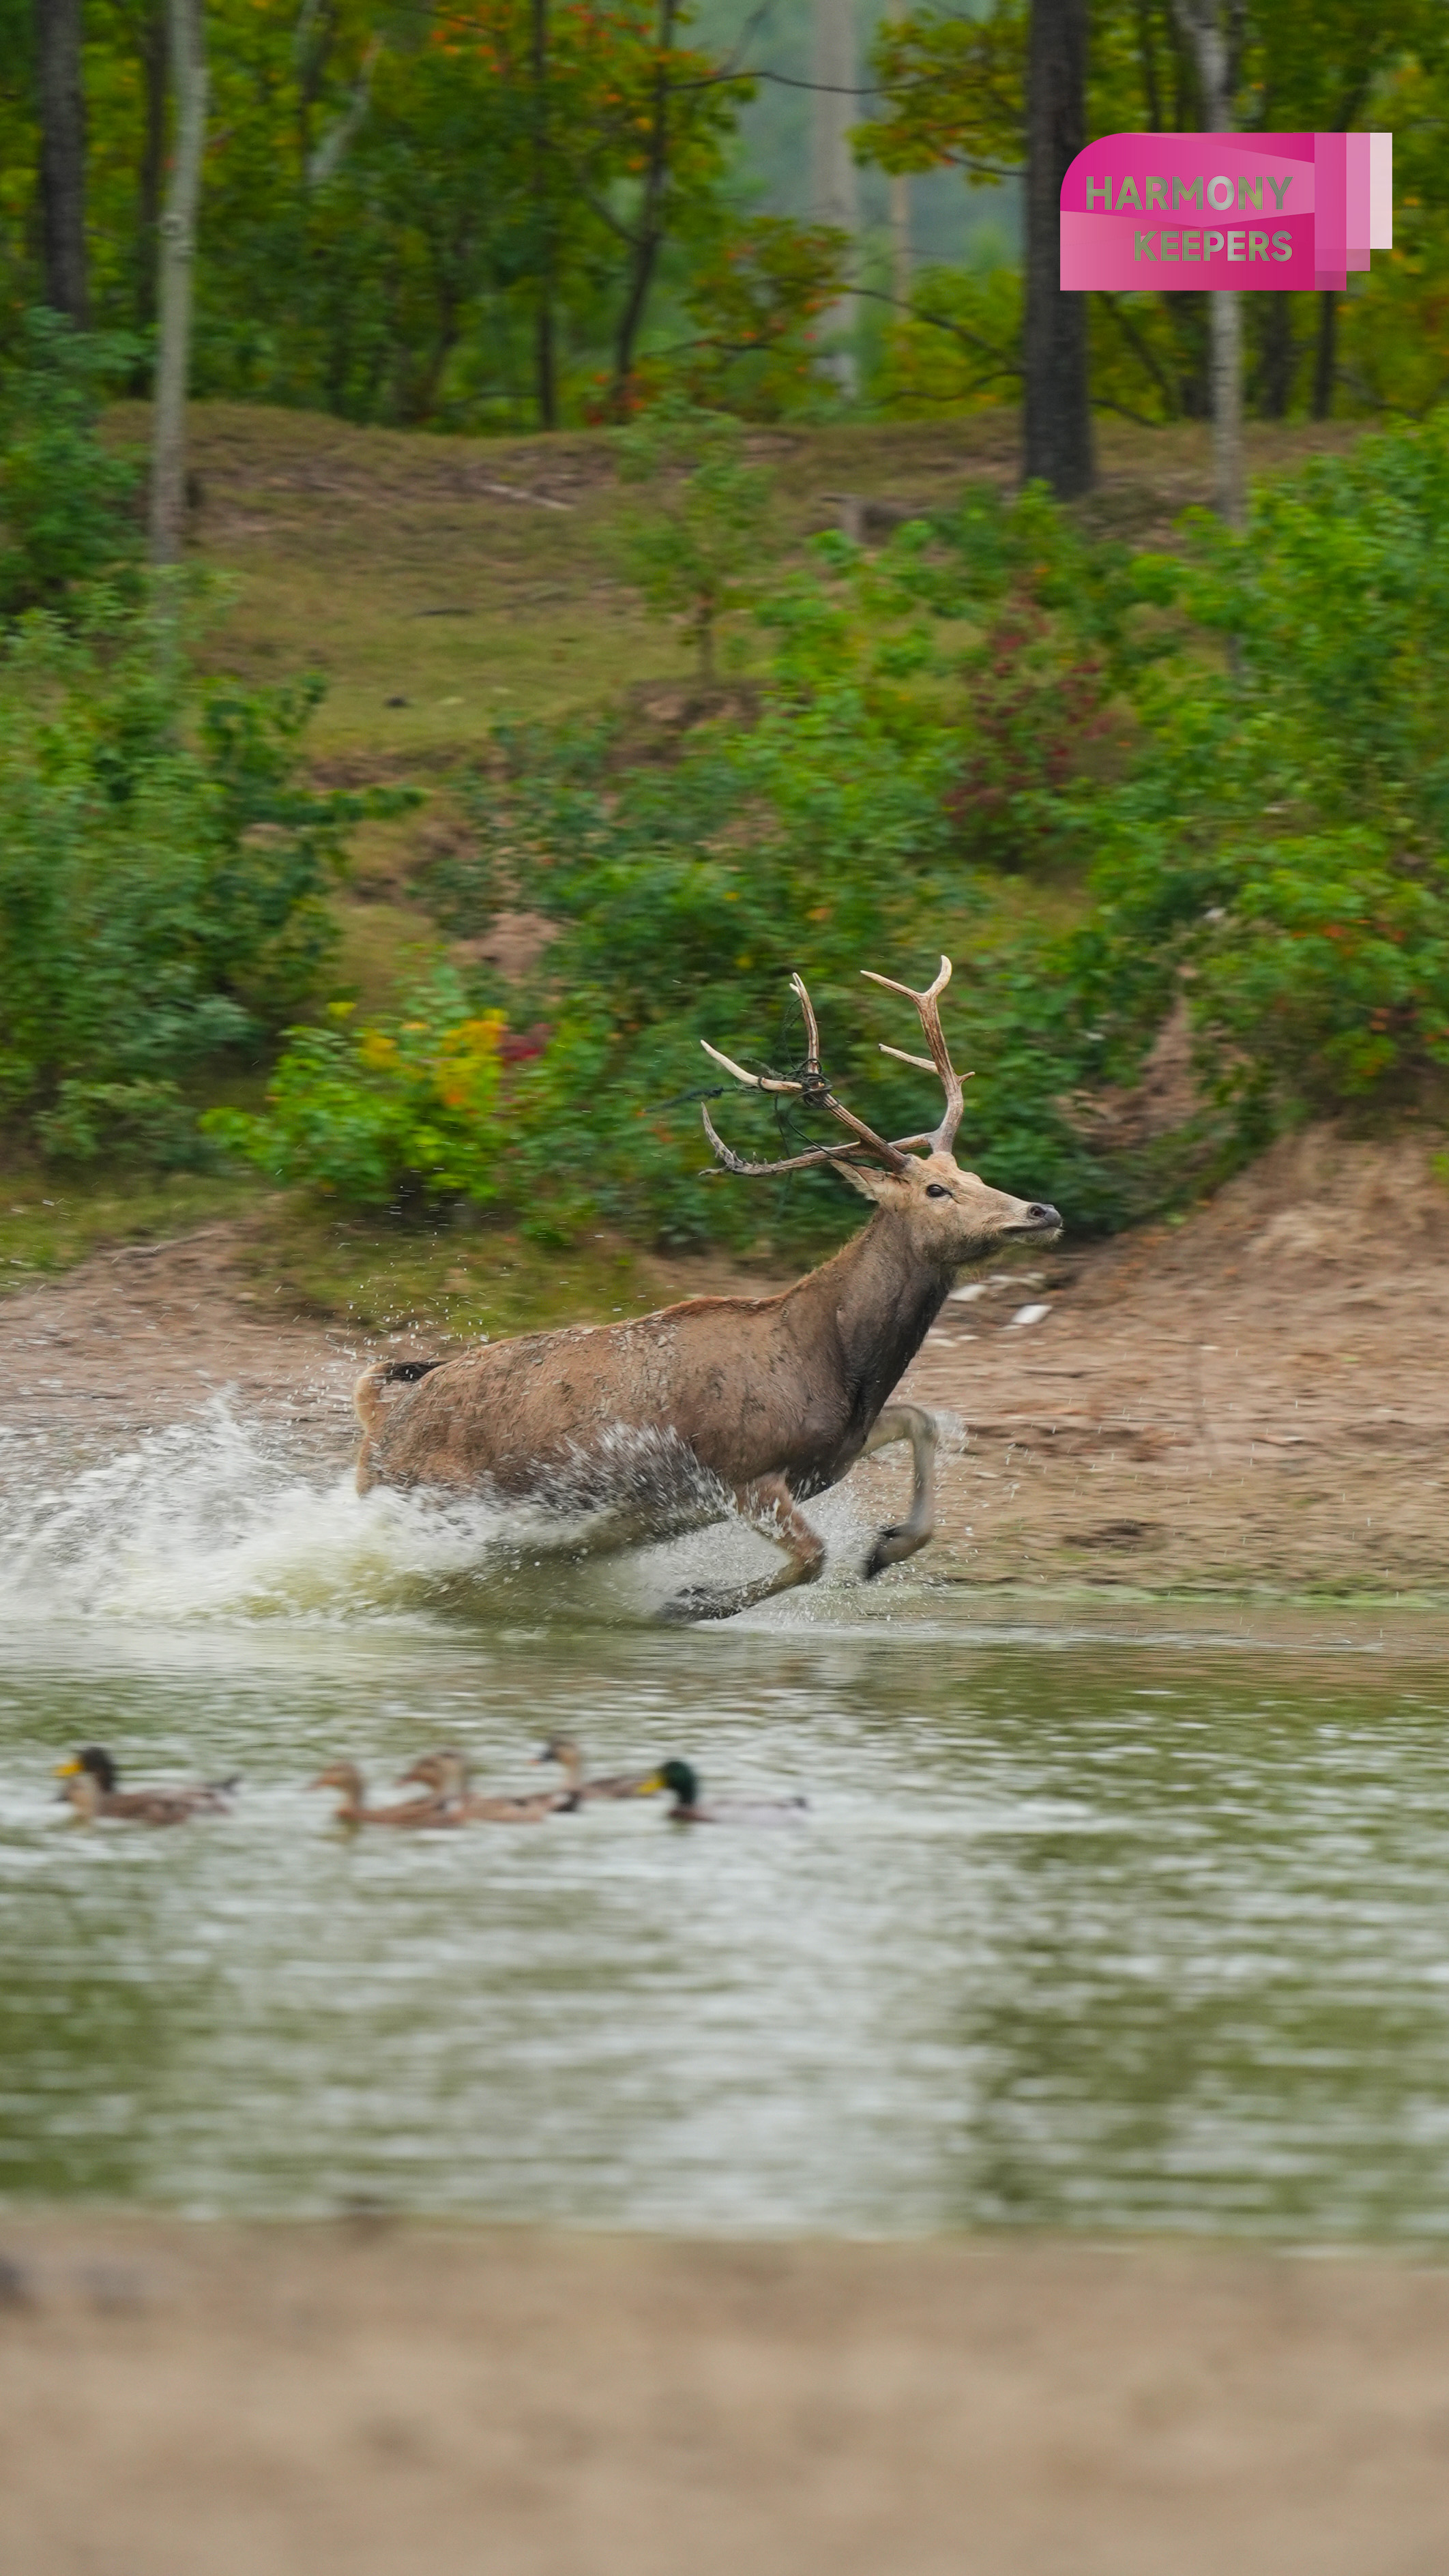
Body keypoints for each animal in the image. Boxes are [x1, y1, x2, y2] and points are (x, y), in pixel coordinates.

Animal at [355, 958, 1062, 1618]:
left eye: (975, 1175)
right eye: (937, 1189)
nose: (1042, 1211)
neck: (839, 1367)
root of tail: (376, 1426)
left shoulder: (833, 1457)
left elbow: (922, 1421)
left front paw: (888, 1547)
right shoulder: (739, 1473)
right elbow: (814, 1557)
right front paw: (690, 1601)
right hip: (432, 1505)